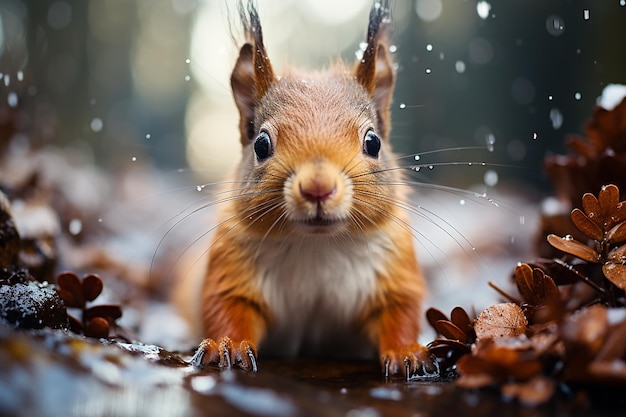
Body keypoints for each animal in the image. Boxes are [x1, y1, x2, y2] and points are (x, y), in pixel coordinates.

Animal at [190, 0, 432, 376]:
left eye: (373, 142)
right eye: (261, 145)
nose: (318, 188)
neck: (317, 245)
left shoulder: (395, 269)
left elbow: (400, 310)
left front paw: (408, 352)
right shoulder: (231, 268)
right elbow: (226, 305)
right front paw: (226, 345)